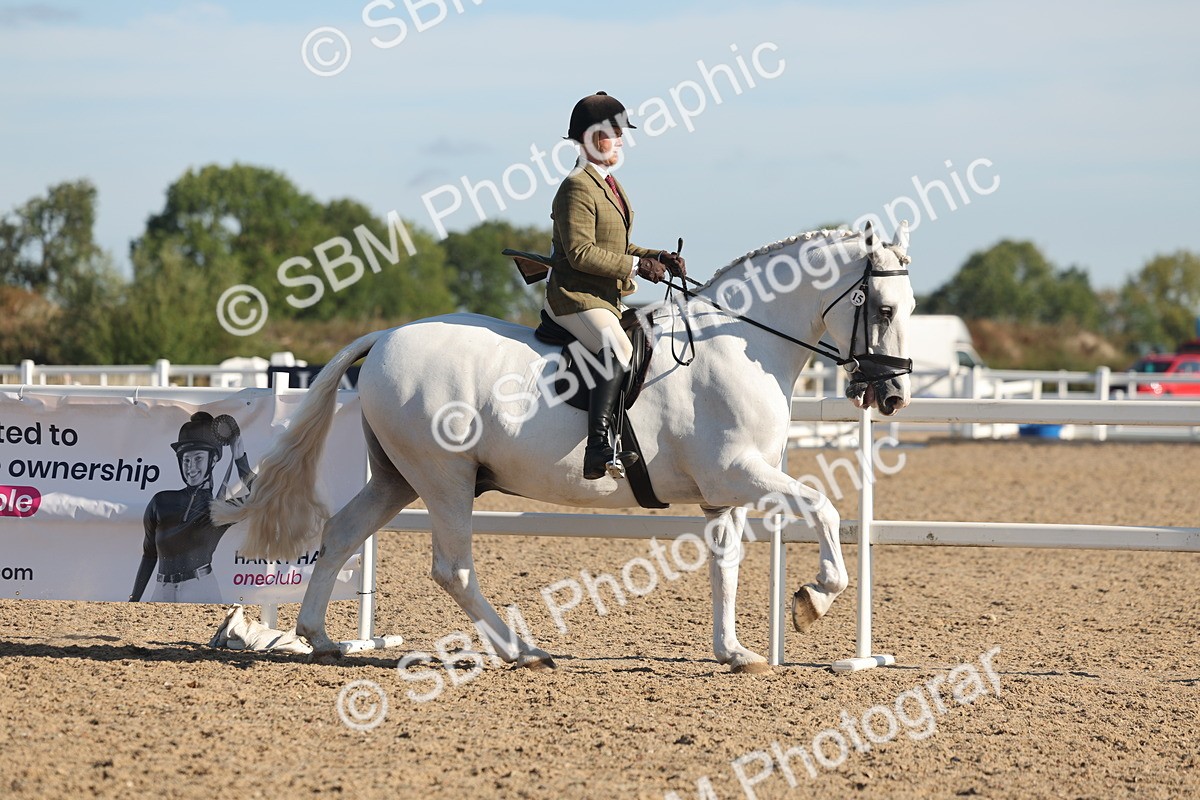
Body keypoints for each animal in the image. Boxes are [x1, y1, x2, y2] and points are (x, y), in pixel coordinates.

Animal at [212, 223, 916, 673]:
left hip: (397, 478)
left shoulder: (726, 492)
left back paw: (321, 639)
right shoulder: (743, 472)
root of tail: (385, 336)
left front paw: (735, 652)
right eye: (881, 308)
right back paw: (521, 651)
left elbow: (727, 565)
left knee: (340, 533)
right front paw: (814, 599)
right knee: (452, 568)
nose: (893, 395)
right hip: (444, 478)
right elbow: (822, 506)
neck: (738, 343)